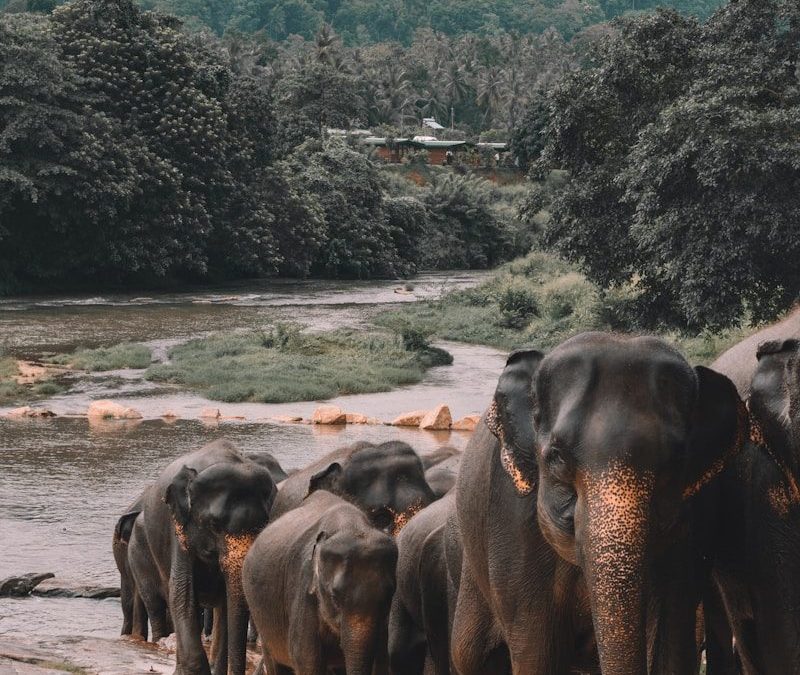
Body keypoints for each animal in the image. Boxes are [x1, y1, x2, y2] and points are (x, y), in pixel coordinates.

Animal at [243, 490, 398, 675]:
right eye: (334, 597)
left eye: (388, 597)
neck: (351, 526)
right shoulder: (304, 587)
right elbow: (307, 661)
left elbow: (381, 662)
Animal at [449, 332, 744, 675]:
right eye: (556, 457)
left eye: (676, 462)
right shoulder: (512, 520)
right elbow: (538, 654)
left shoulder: (694, 527)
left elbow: (672, 645)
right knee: (469, 653)